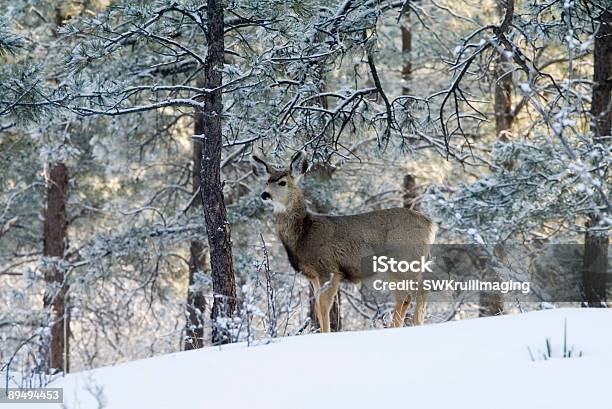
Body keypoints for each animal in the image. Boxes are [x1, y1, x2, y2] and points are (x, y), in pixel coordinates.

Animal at [252, 150, 436, 332]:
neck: (303, 234)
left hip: (404, 260)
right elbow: (317, 307)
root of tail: (431, 224)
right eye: (267, 181)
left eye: (282, 182)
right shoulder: (313, 274)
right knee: (407, 295)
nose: (264, 194)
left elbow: (324, 306)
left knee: (415, 292)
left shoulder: (329, 268)